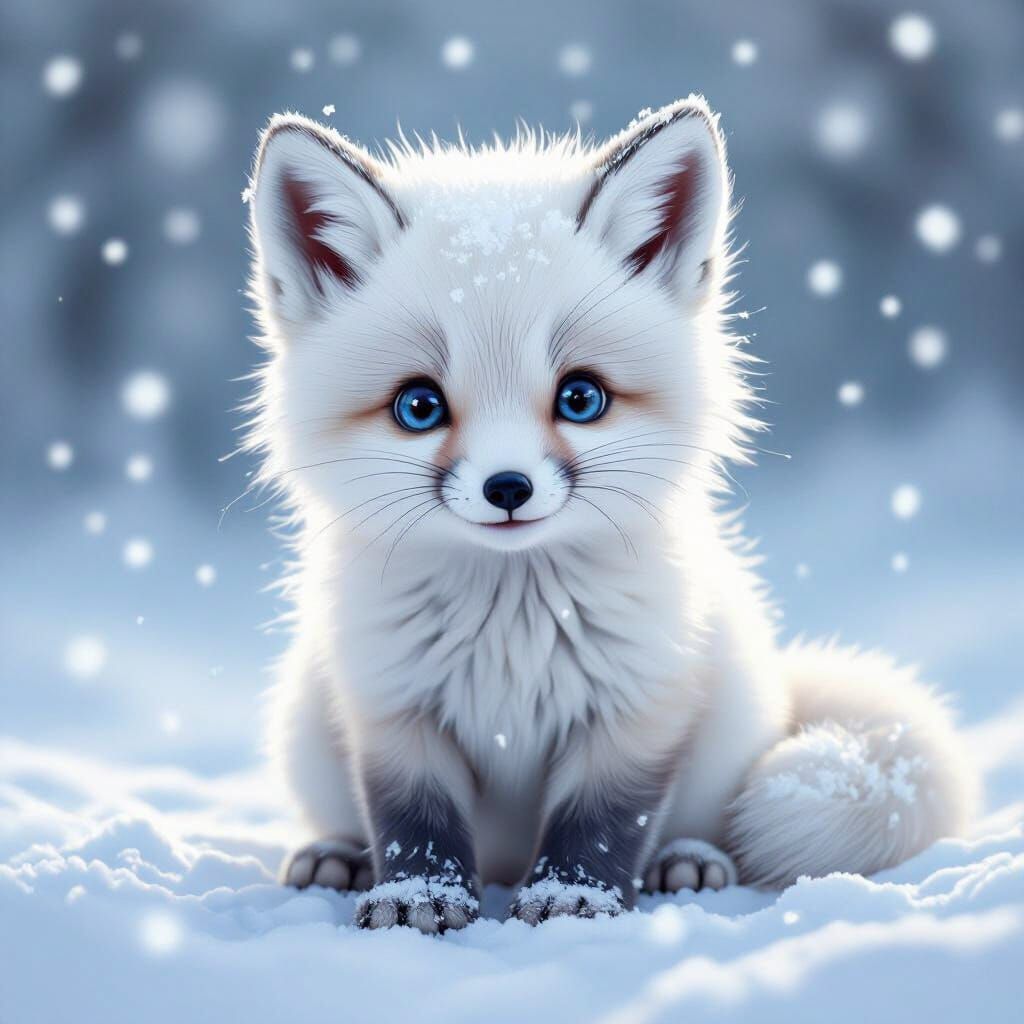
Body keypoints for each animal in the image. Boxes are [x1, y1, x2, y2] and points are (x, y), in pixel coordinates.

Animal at [244, 96, 978, 933]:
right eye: (419, 407)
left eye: (581, 397)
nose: (507, 488)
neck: (511, 626)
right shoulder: (394, 710)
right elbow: (413, 824)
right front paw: (417, 897)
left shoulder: (639, 708)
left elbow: (600, 824)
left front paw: (573, 900)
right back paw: (337, 856)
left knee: (697, 824)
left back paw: (686, 862)